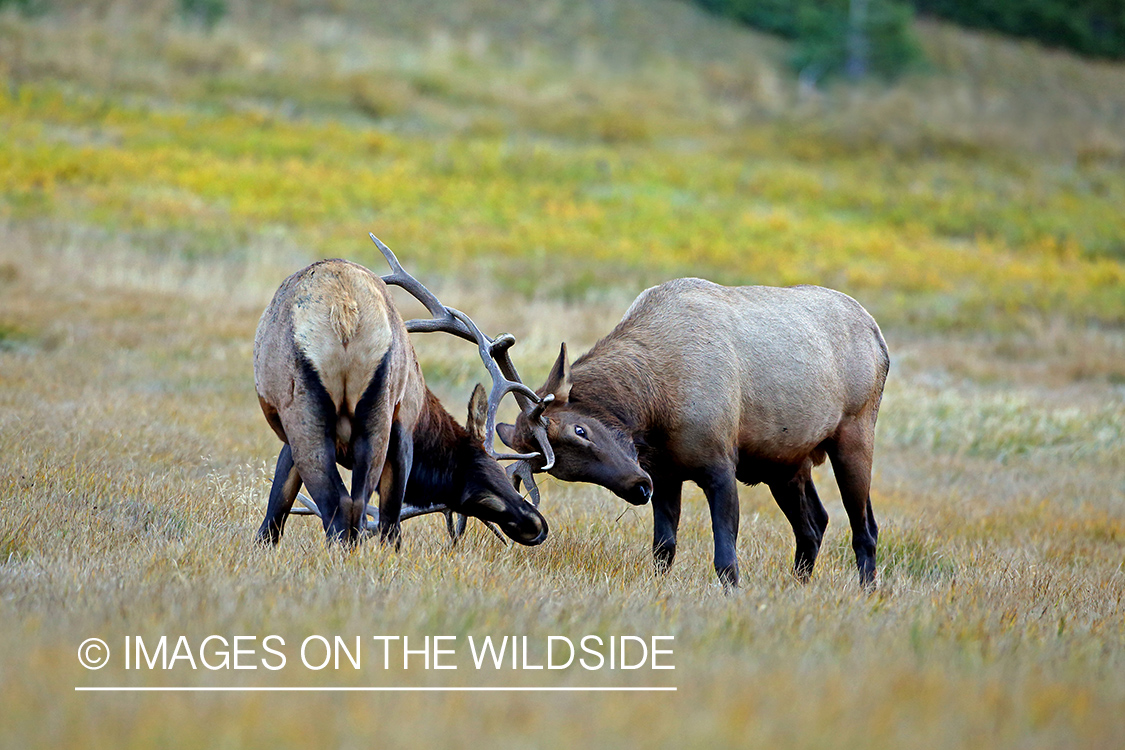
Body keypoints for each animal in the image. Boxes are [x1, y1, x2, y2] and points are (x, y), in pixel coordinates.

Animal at [254, 237, 553, 548]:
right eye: (488, 469)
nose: (536, 525)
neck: (425, 412)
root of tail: (343, 312)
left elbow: (275, 513)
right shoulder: (404, 424)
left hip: (324, 416)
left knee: (352, 507)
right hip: (369, 414)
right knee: (356, 509)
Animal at [499, 278, 886, 589]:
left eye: (581, 429)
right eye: (564, 471)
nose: (637, 487)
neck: (655, 406)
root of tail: (878, 337)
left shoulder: (719, 464)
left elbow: (726, 559)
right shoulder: (664, 474)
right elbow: (663, 549)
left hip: (855, 431)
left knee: (865, 528)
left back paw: (867, 592)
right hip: (786, 463)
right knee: (814, 525)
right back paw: (799, 586)